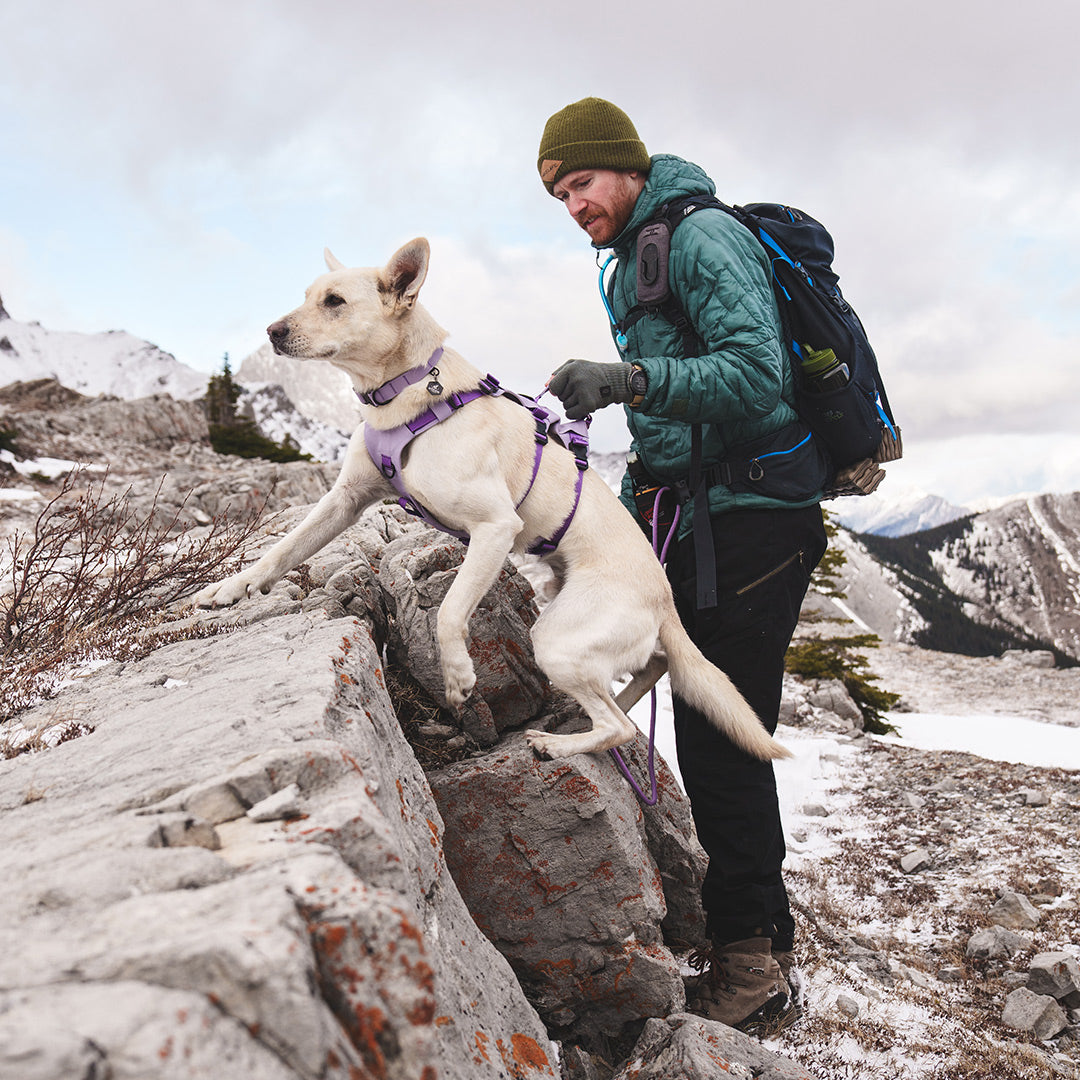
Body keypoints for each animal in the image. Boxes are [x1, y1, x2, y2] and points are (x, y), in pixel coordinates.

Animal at [196, 238, 786, 760]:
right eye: (307, 295)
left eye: (335, 301)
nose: (272, 331)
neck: (407, 391)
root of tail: (665, 597)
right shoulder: (346, 499)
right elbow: (284, 550)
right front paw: (229, 589)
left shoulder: (495, 528)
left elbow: (449, 610)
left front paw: (458, 676)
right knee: (651, 671)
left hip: (556, 637)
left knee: (618, 726)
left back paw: (558, 743)